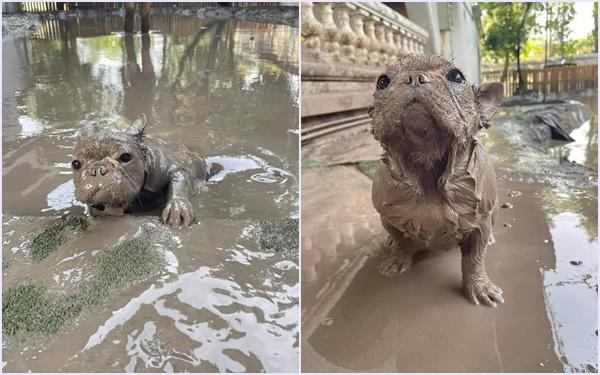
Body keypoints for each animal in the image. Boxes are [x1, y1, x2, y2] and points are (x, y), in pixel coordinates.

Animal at [69, 113, 206, 228]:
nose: (98, 169)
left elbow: (178, 182)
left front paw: (177, 208)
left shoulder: (171, 169)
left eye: (125, 157)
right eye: (76, 164)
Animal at [368, 55, 504, 308]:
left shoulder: (480, 224)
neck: (426, 169)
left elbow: (474, 258)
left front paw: (479, 287)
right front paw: (397, 259)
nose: (413, 77)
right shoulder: (387, 217)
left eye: (456, 76)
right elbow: (399, 239)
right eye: (382, 81)